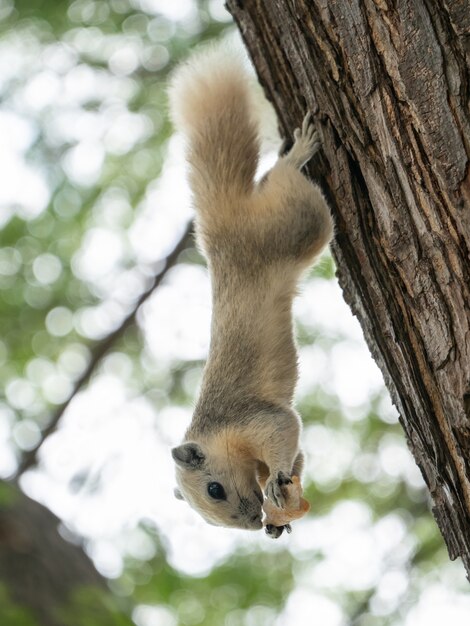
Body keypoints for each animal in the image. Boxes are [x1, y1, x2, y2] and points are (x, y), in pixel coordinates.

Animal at [167, 44, 332, 532]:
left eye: (214, 489)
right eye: (210, 521)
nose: (253, 523)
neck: (222, 437)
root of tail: (220, 230)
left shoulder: (255, 421)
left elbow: (284, 428)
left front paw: (277, 479)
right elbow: (297, 455)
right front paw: (281, 517)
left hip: (298, 225)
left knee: (285, 178)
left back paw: (299, 150)